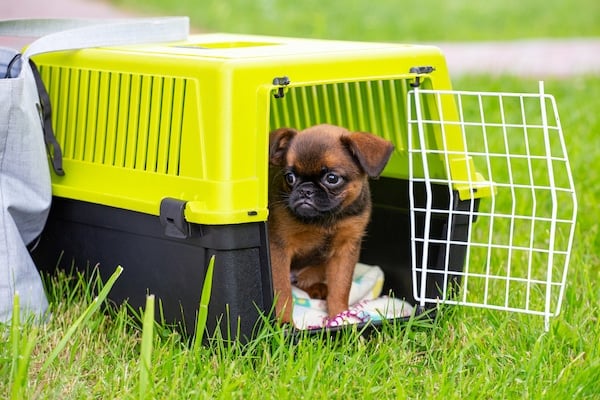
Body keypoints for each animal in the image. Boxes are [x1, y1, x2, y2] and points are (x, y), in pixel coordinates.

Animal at [268, 123, 394, 324]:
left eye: (332, 178)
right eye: (289, 177)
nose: (305, 190)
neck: (324, 219)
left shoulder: (345, 251)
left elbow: (341, 287)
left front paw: (340, 317)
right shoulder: (279, 248)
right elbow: (283, 291)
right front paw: (284, 323)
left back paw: (319, 289)